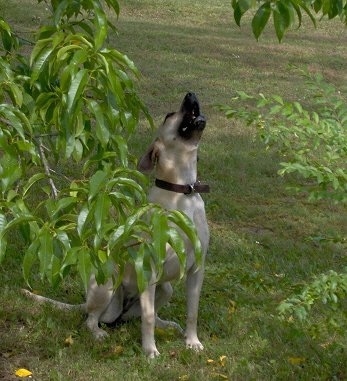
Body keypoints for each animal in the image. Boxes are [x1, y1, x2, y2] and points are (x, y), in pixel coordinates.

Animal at [24, 92, 211, 356]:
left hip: (166, 288)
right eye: (169, 115)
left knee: (139, 315)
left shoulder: (196, 269)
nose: (190, 94)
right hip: (108, 285)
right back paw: (98, 332)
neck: (183, 192)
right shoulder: (149, 270)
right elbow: (148, 319)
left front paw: (192, 341)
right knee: (92, 318)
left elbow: (191, 312)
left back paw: (166, 324)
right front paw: (150, 350)